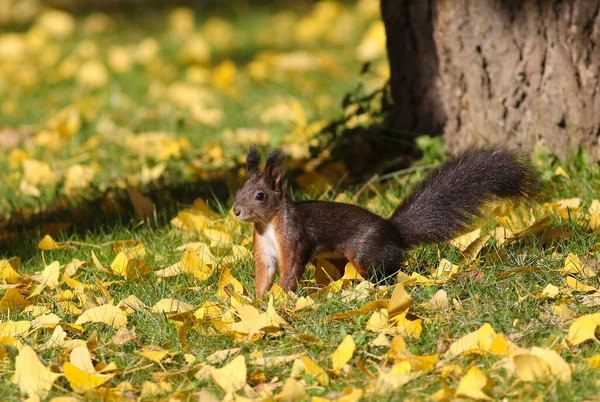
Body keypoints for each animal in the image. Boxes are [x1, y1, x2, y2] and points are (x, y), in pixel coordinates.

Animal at [232, 146, 540, 296]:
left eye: (260, 196)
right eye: (238, 191)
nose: (235, 211)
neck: (269, 224)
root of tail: (394, 231)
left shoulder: (293, 237)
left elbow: (292, 268)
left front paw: (281, 297)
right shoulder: (264, 248)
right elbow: (265, 272)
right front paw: (258, 300)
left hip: (365, 253)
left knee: (390, 271)